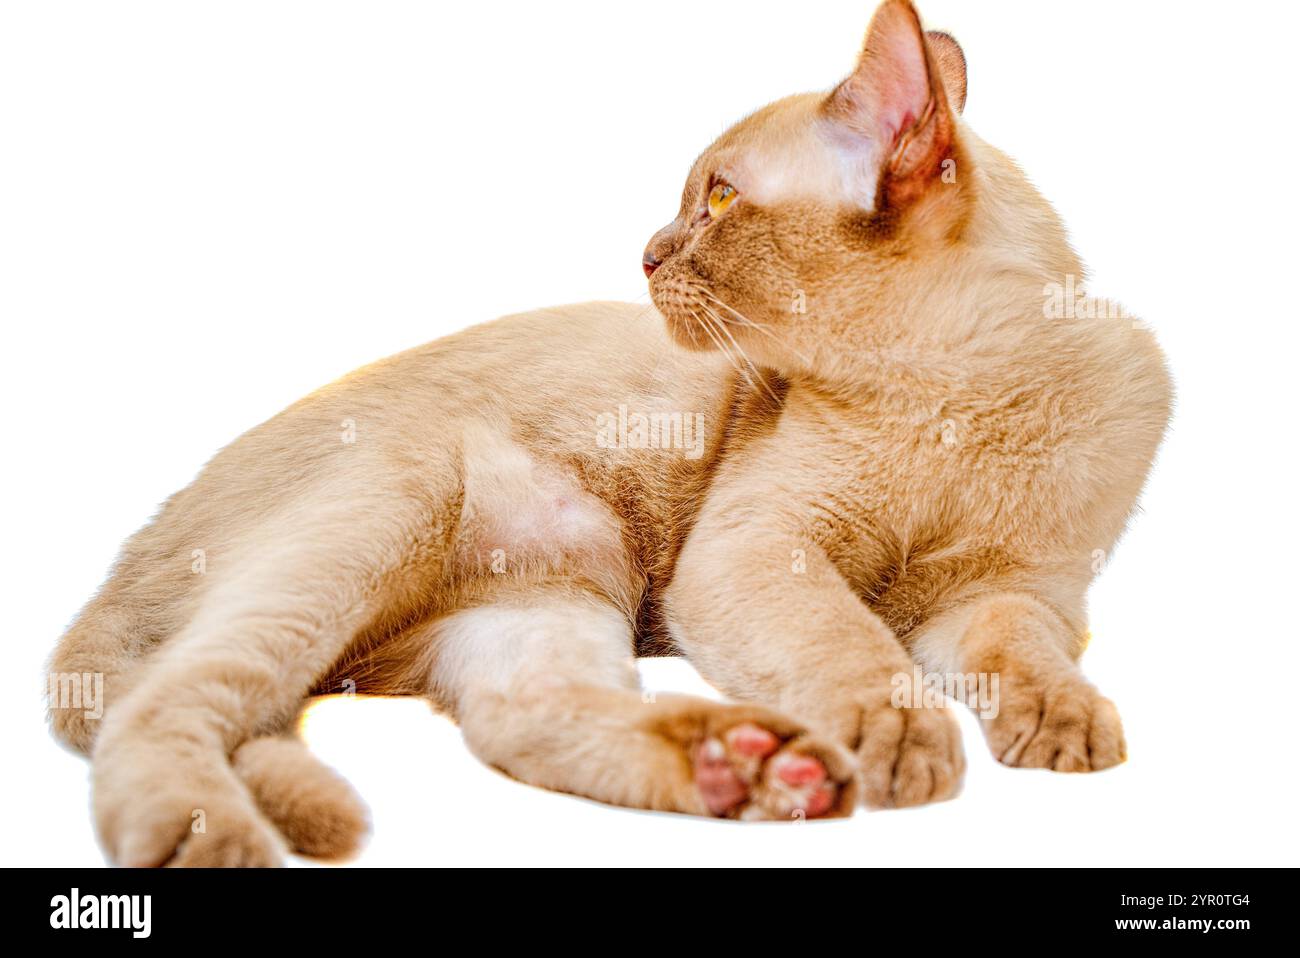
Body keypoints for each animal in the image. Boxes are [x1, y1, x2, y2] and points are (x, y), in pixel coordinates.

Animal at [48, 1, 1170, 868]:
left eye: (718, 197)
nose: (646, 253)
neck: (964, 402)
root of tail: (133, 548)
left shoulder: (1003, 593)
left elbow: (1025, 654)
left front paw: (1065, 725)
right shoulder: (763, 549)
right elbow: (848, 643)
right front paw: (899, 738)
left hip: (555, 594)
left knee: (519, 720)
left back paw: (748, 769)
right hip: (396, 506)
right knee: (162, 703)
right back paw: (210, 841)